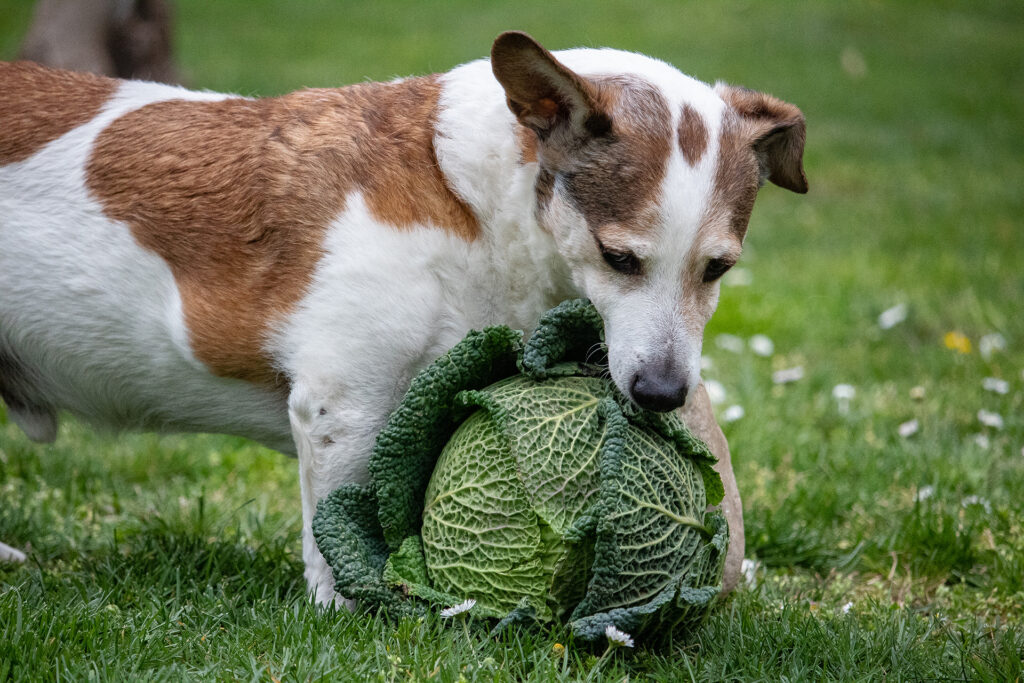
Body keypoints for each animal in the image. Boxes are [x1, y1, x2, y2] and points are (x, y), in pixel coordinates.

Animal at [0, 31, 802, 602]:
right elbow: (340, 527)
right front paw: (355, 608)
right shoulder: (344, 407)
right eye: (619, 258)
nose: (662, 394)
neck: (469, 202)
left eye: (718, 268)